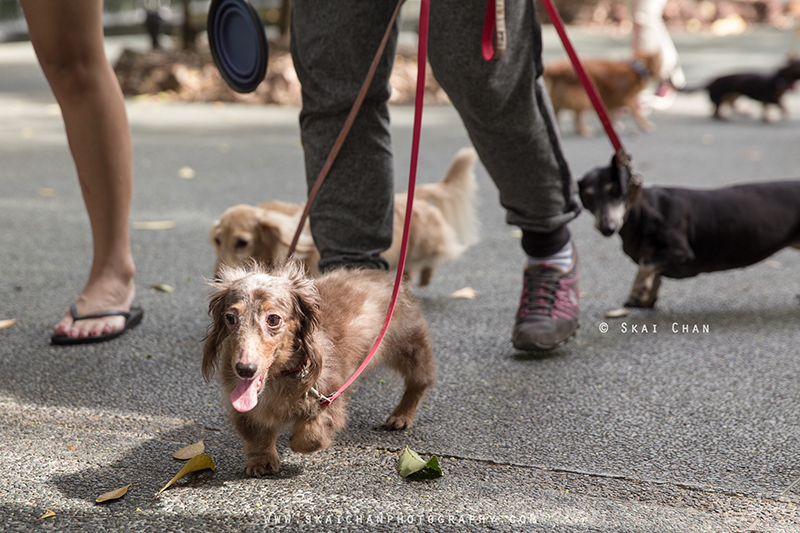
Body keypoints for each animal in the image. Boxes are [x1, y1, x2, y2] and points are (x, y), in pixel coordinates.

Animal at [203, 258, 434, 474]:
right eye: (230, 317)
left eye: (273, 319)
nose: (245, 369)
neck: (280, 376)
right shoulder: (247, 410)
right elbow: (258, 435)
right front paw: (261, 461)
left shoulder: (329, 395)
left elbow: (309, 436)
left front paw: (297, 441)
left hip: (409, 345)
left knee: (420, 380)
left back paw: (401, 415)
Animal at [209, 148, 478, 284]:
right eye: (217, 241)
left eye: (242, 242)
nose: (218, 279)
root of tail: (415, 194)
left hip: (426, 245)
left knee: (432, 257)